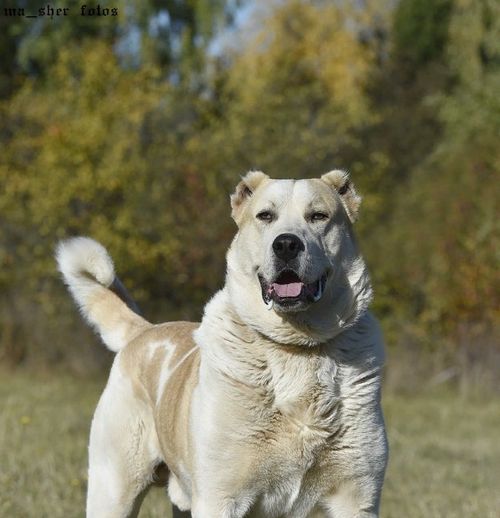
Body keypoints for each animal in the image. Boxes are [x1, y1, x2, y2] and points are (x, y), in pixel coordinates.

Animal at [56, 172, 388, 518]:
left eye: (319, 216)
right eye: (265, 216)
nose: (286, 244)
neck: (296, 348)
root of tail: (143, 331)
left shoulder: (357, 499)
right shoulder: (220, 497)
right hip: (114, 488)